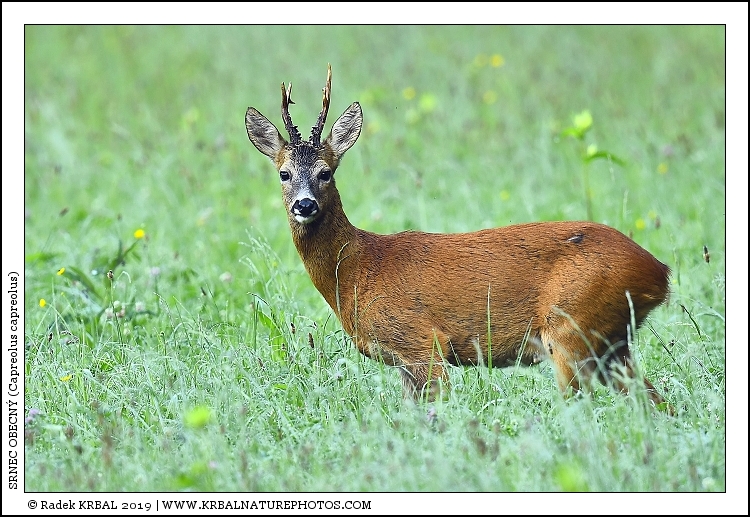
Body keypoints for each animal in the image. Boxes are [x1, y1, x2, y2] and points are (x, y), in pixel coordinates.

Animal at [245, 64, 673, 413]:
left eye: (326, 172)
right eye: (283, 173)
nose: (304, 205)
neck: (358, 270)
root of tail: (659, 272)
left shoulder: (422, 342)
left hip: (571, 327)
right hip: (612, 344)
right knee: (657, 404)